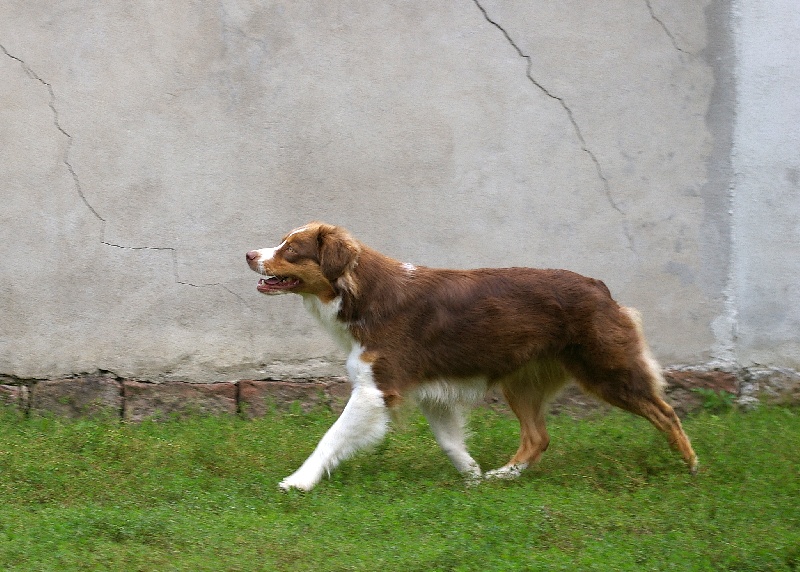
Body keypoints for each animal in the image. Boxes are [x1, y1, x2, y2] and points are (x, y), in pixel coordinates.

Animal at [242, 221, 692, 490]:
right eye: (281, 241)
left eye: (291, 249)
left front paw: (298, 481)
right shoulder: (430, 390)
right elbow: (449, 442)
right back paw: (502, 476)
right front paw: (472, 478)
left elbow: (330, 437)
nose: (247, 254)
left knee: (666, 411)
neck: (359, 294)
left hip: (606, 370)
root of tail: (601, 287)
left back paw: (689, 466)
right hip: (522, 382)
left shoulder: (376, 389)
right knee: (538, 437)